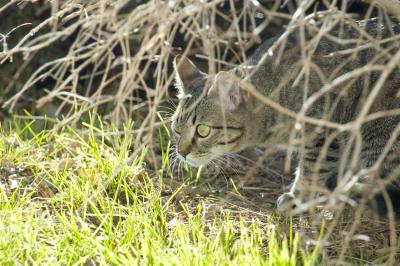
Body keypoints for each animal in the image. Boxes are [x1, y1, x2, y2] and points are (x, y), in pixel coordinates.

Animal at [170, 17, 400, 218]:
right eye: (176, 129)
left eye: (203, 130)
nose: (181, 152)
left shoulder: (321, 132)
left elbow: (312, 168)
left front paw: (298, 198)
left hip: (377, 132)